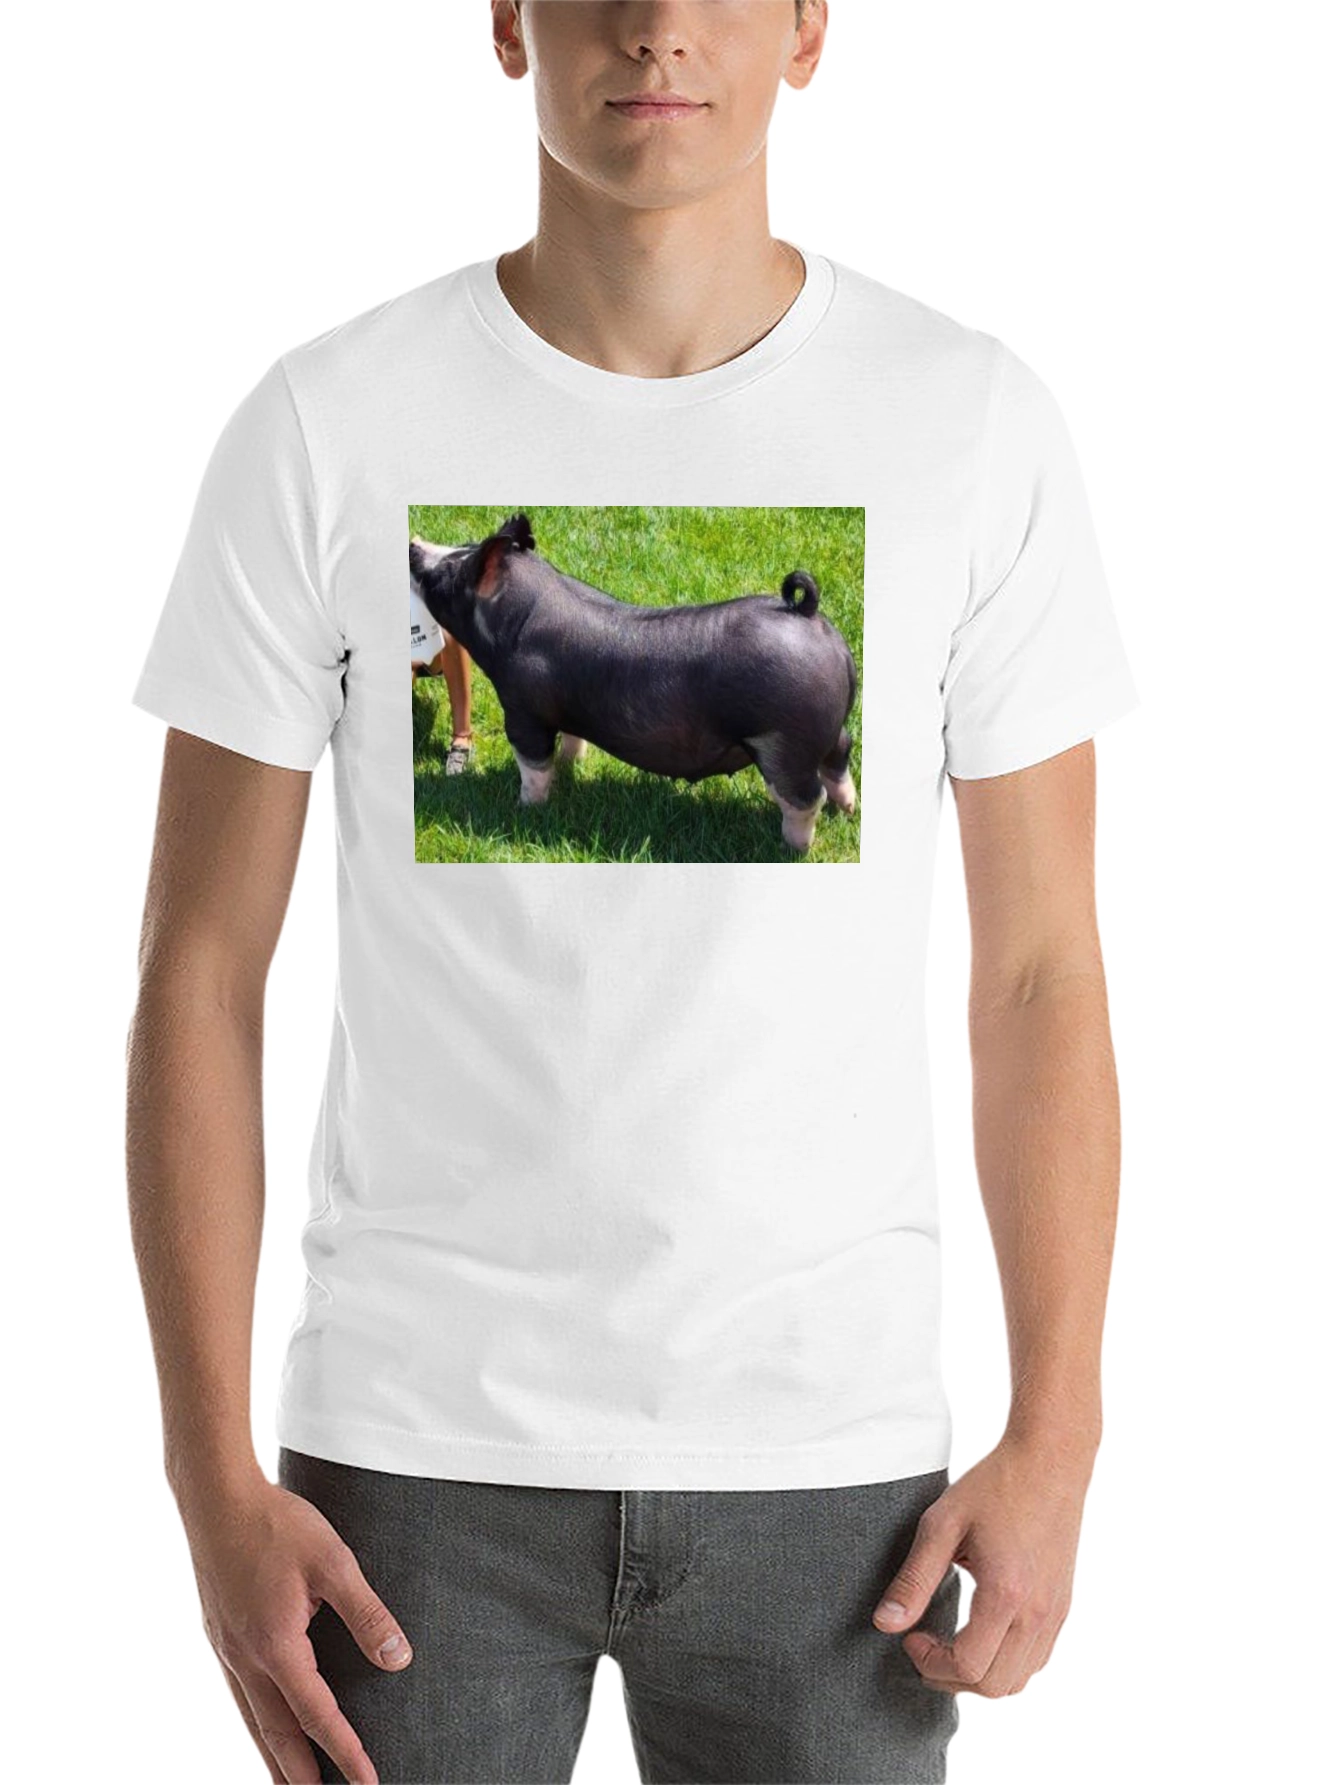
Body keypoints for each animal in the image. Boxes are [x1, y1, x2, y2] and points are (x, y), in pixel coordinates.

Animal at [408, 512, 858, 851]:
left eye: (448, 573)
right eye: (462, 543)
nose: (413, 544)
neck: (517, 618)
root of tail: (807, 615)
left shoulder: (523, 709)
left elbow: (533, 762)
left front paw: (526, 808)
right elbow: (572, 740)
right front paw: (572, 765)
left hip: (785, 741)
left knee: (805, 797)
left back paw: (794, 847)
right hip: (825, 730)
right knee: (841, 756)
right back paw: (849, 810)